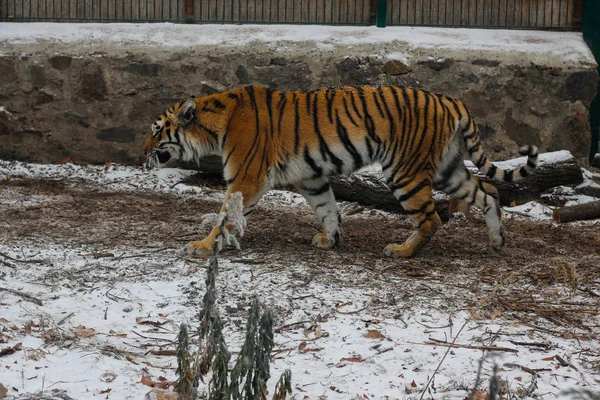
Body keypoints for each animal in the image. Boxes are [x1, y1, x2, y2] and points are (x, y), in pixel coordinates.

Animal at [142, 85, 540, 258]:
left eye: (156, 130)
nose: (142, 152)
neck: (214, 125)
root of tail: (450, 100)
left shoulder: (247, 177)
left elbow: (227, 214)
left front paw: (203, 246)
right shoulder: (311, 177)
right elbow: (328, 208)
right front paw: (330, 239)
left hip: (405, 172)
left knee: (431, 218)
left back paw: (402, 251)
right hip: (447, 169)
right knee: (489, 192)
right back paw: (496, 241)